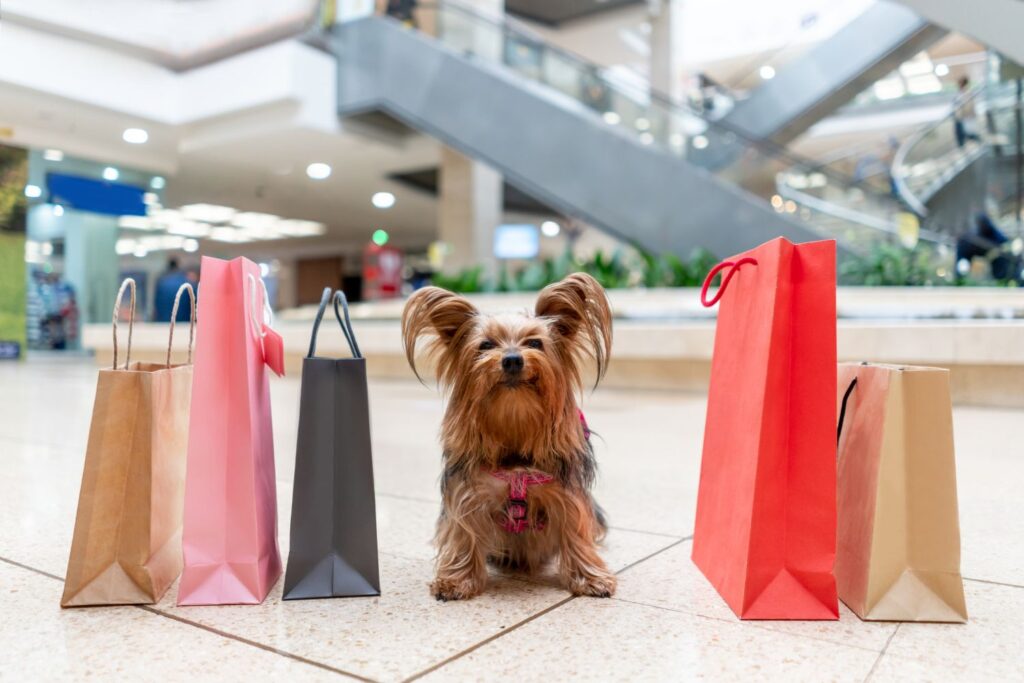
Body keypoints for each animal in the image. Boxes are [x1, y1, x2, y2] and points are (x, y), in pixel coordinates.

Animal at [401, 270, 614, 602]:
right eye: (486, 345)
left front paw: (590, 577)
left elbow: (575, 531)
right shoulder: (469, 493)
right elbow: (463, 532)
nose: (512, 359)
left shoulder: (566, 493)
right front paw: (456, 580)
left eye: (535, 342)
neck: (514, 421)